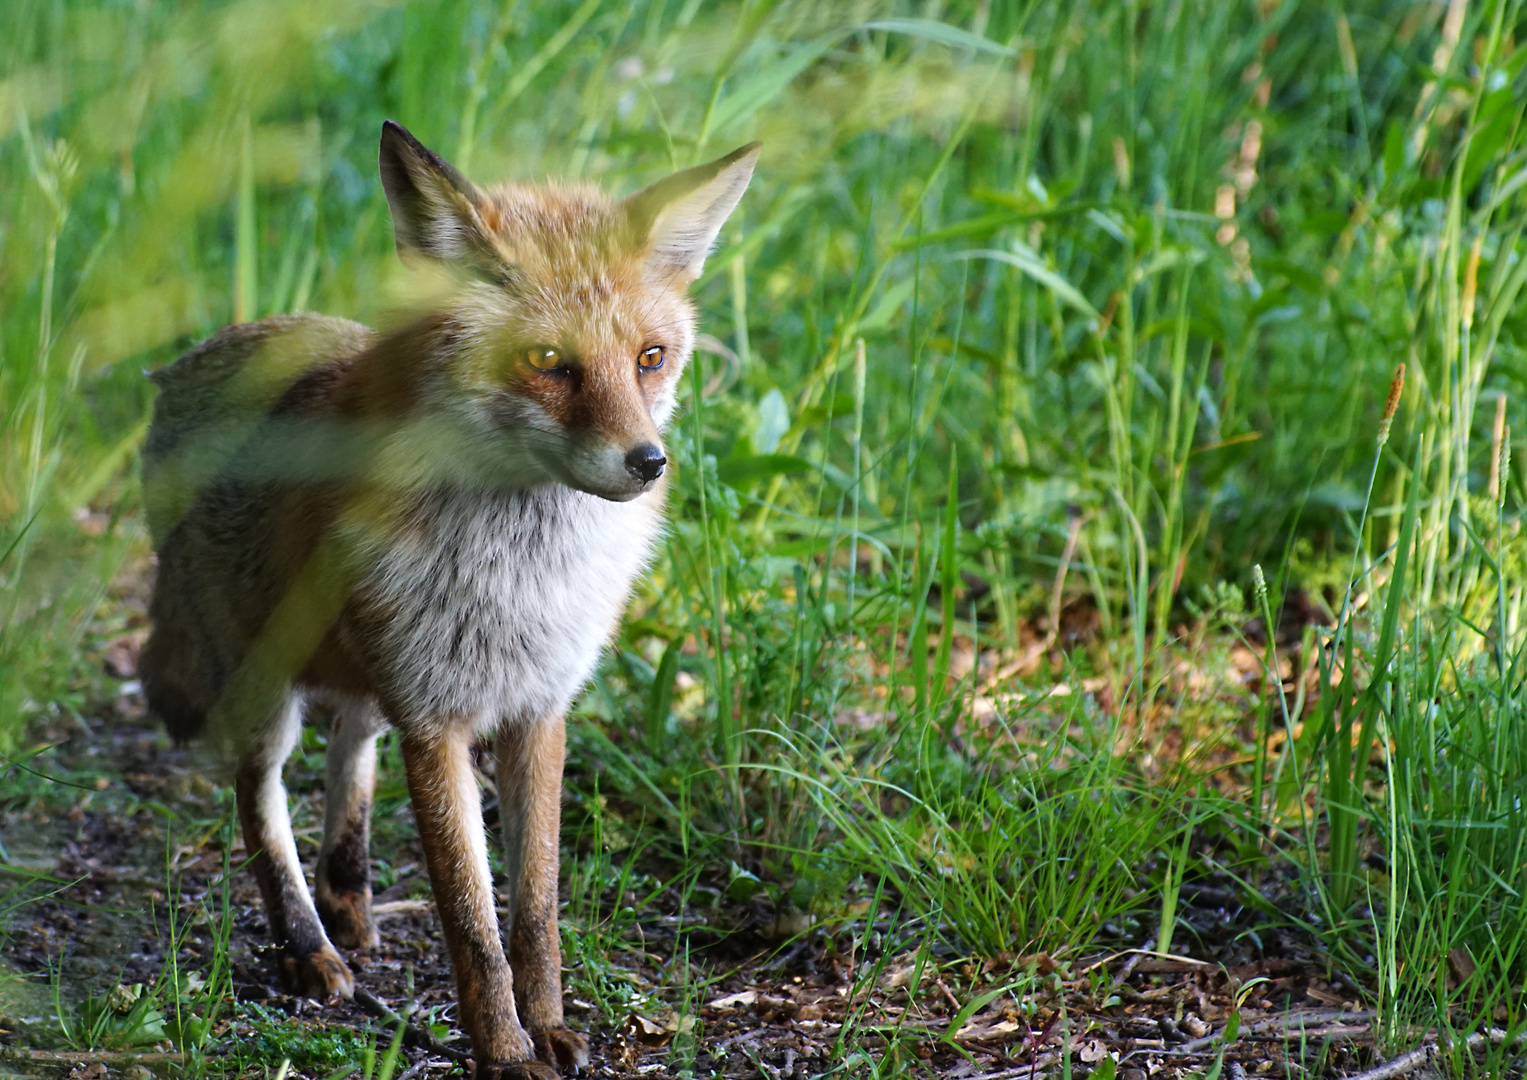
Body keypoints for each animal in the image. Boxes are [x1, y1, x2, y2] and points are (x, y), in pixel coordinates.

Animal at [140, 122, 760, 1075]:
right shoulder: (435, 720)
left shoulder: (538, 708)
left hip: (363, 666)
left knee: (351, 749)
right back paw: (308, 947)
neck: (521, 576)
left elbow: (534, 910)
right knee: (261, 799)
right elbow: (472, 919)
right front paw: (503, 1050)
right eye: (548, 363)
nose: (648, 462)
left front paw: (548, 1026)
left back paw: (351, 906)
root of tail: (197, 357)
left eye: (650, 358)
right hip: (267, 689)